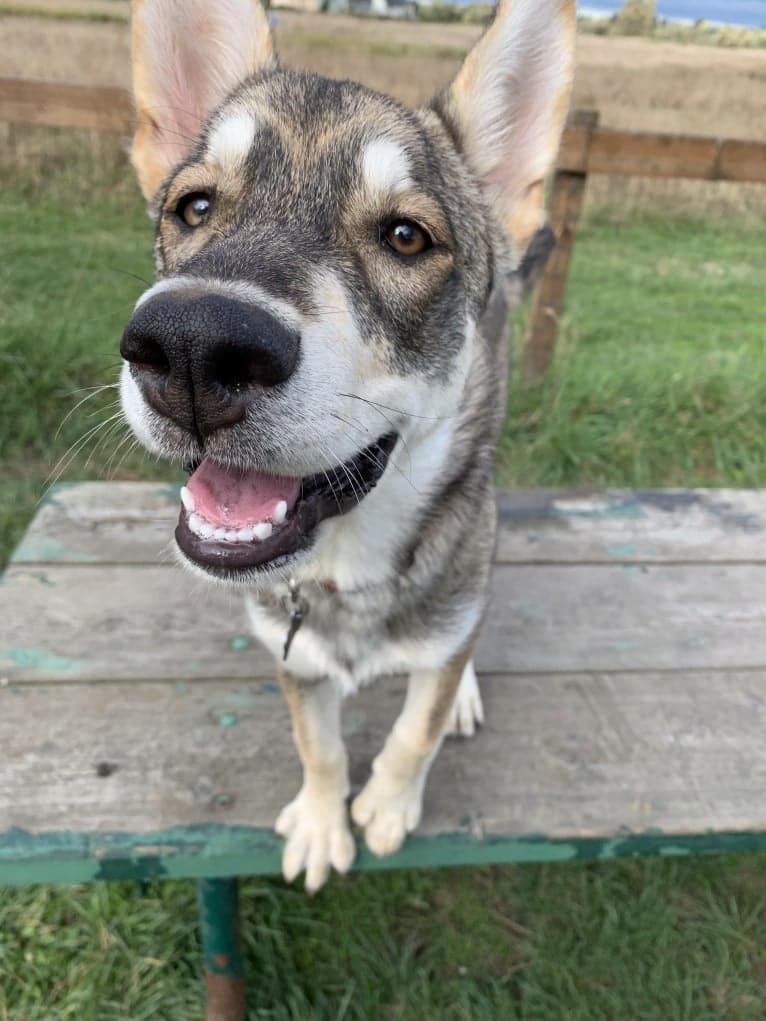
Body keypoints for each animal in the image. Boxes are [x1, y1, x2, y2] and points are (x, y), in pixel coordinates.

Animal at [120, 0, 571, 894]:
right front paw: (325, 824)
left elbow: (415, 727)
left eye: (406, 236)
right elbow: (320, 746)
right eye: (194, 207)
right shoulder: (293, 659)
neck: (346, 568)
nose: (190, 345)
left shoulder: (451, 600)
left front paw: (389, 806)